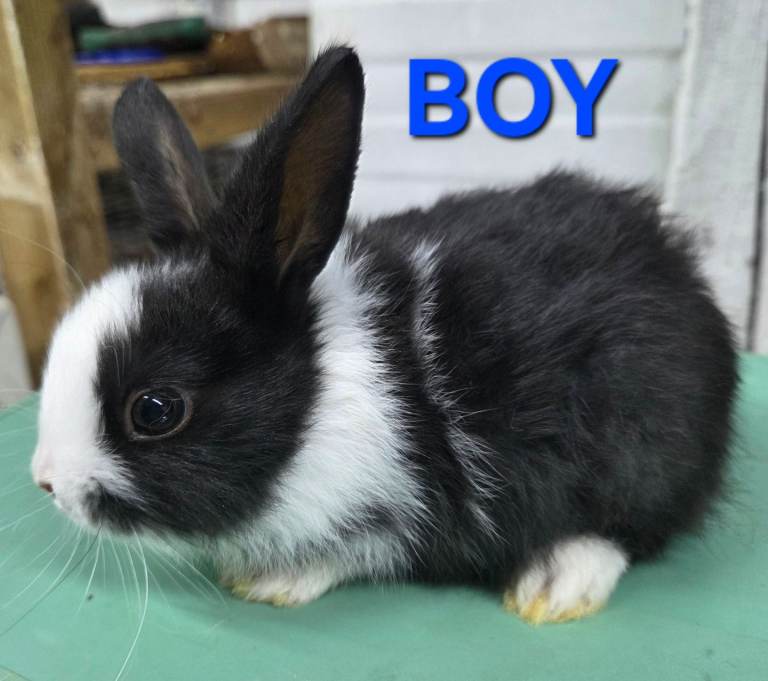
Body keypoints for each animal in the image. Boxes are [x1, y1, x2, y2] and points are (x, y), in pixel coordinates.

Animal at [31, 46, 737, 624]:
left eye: (155, 410)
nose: (47, 482)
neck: (321, 401)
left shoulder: (402, 512)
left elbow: (361, 548)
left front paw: (274, 581)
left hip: (644, 441)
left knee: (634, 524)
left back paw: (555, 582)